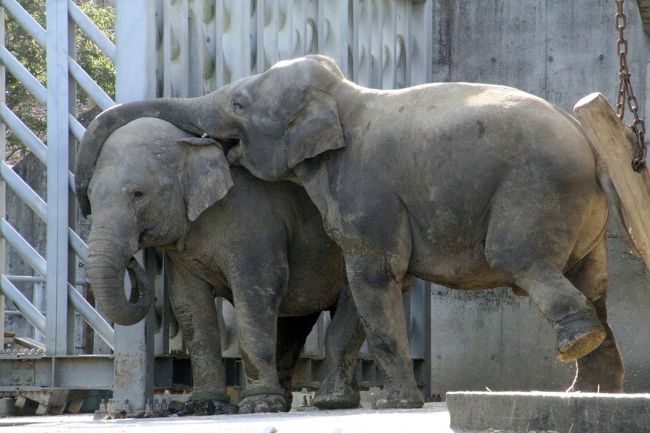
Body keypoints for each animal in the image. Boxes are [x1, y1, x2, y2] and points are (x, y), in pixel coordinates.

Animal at [75, 117, 364, 412]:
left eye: (138, 194)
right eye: (89, 196)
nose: (134, 259)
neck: (191, 143)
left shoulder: (255, 225)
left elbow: (257, 293)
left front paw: (258, 405)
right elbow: (190, 304)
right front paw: (205, 404)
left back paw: (333, 400)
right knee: (294, 325)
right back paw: (287, 401)